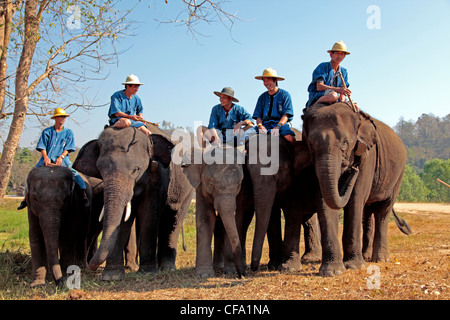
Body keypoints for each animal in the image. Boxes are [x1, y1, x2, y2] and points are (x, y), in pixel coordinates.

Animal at [72, 127, 193, 280]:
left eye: (136, 169)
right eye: (100, 170)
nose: (89, 268)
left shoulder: (158, 173)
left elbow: (149, 213)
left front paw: (147, 273)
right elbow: (122, 219)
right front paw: (112, 276)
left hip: (186, 192)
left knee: (173, 220)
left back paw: (167, 268)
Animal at [181, 146, 246, 278]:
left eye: (239, 184)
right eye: (211, 184)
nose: (243, 275)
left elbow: (233, 220)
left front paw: (230, 272)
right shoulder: (201, 188)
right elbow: (206, 219)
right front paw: (204, 275)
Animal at [302, 102, 412, 276]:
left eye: (345, 143)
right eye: (310, 145)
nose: (354, 168)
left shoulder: (368, 156)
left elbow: (356, 198)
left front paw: (354, 267)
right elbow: (323, 199)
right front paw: (332, 271)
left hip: (398, 174)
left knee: (383, 210)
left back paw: (380, 259)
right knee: (367, 212)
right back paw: (366, 256)